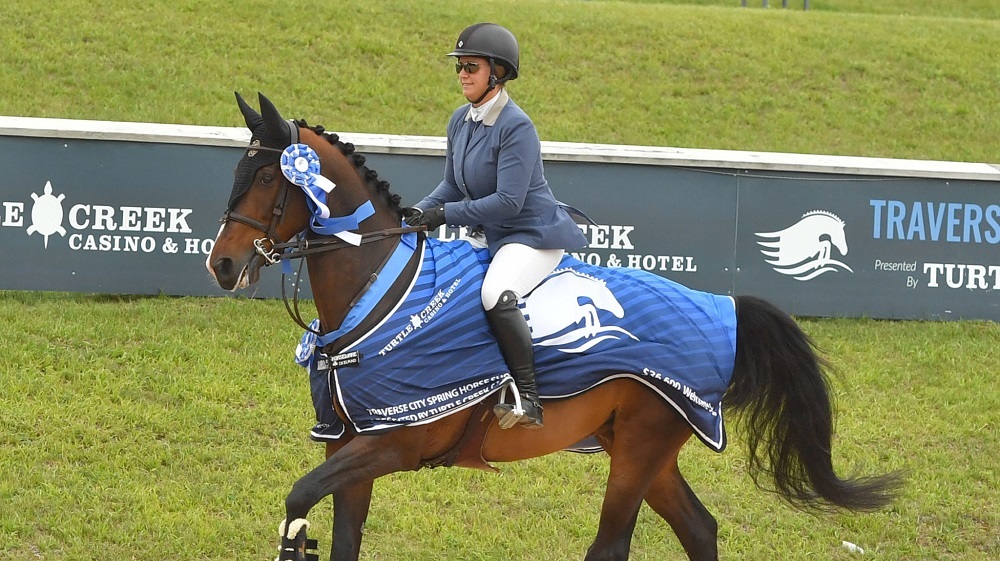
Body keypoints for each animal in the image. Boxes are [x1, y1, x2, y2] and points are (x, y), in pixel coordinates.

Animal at [207, 92, 901, 561]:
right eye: (236, 173)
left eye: (266, 177)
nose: (222, 265)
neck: (376, 293)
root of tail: (721, 308)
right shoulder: (349, 444)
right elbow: (340, 535)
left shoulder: (393, 444)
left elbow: (298, 499)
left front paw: (294, 539)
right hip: (643, 447)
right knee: (700, 530)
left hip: (641, 445)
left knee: (613, 545)